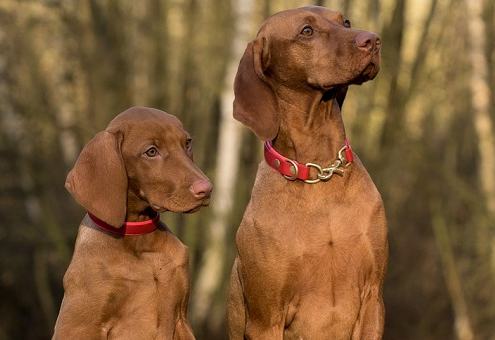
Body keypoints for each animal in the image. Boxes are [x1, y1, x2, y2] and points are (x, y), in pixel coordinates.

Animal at [53, 105, 212, 338]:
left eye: (188, 143)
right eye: (151, 152)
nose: (207, 189)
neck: (140, 240)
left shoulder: (181, 319)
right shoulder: (79, 327)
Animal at [228, 5, 388, 340]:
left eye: (346, 22)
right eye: (306, 31)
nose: (374, 40)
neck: (320, 171)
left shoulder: (373, 298)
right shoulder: (266, 319)